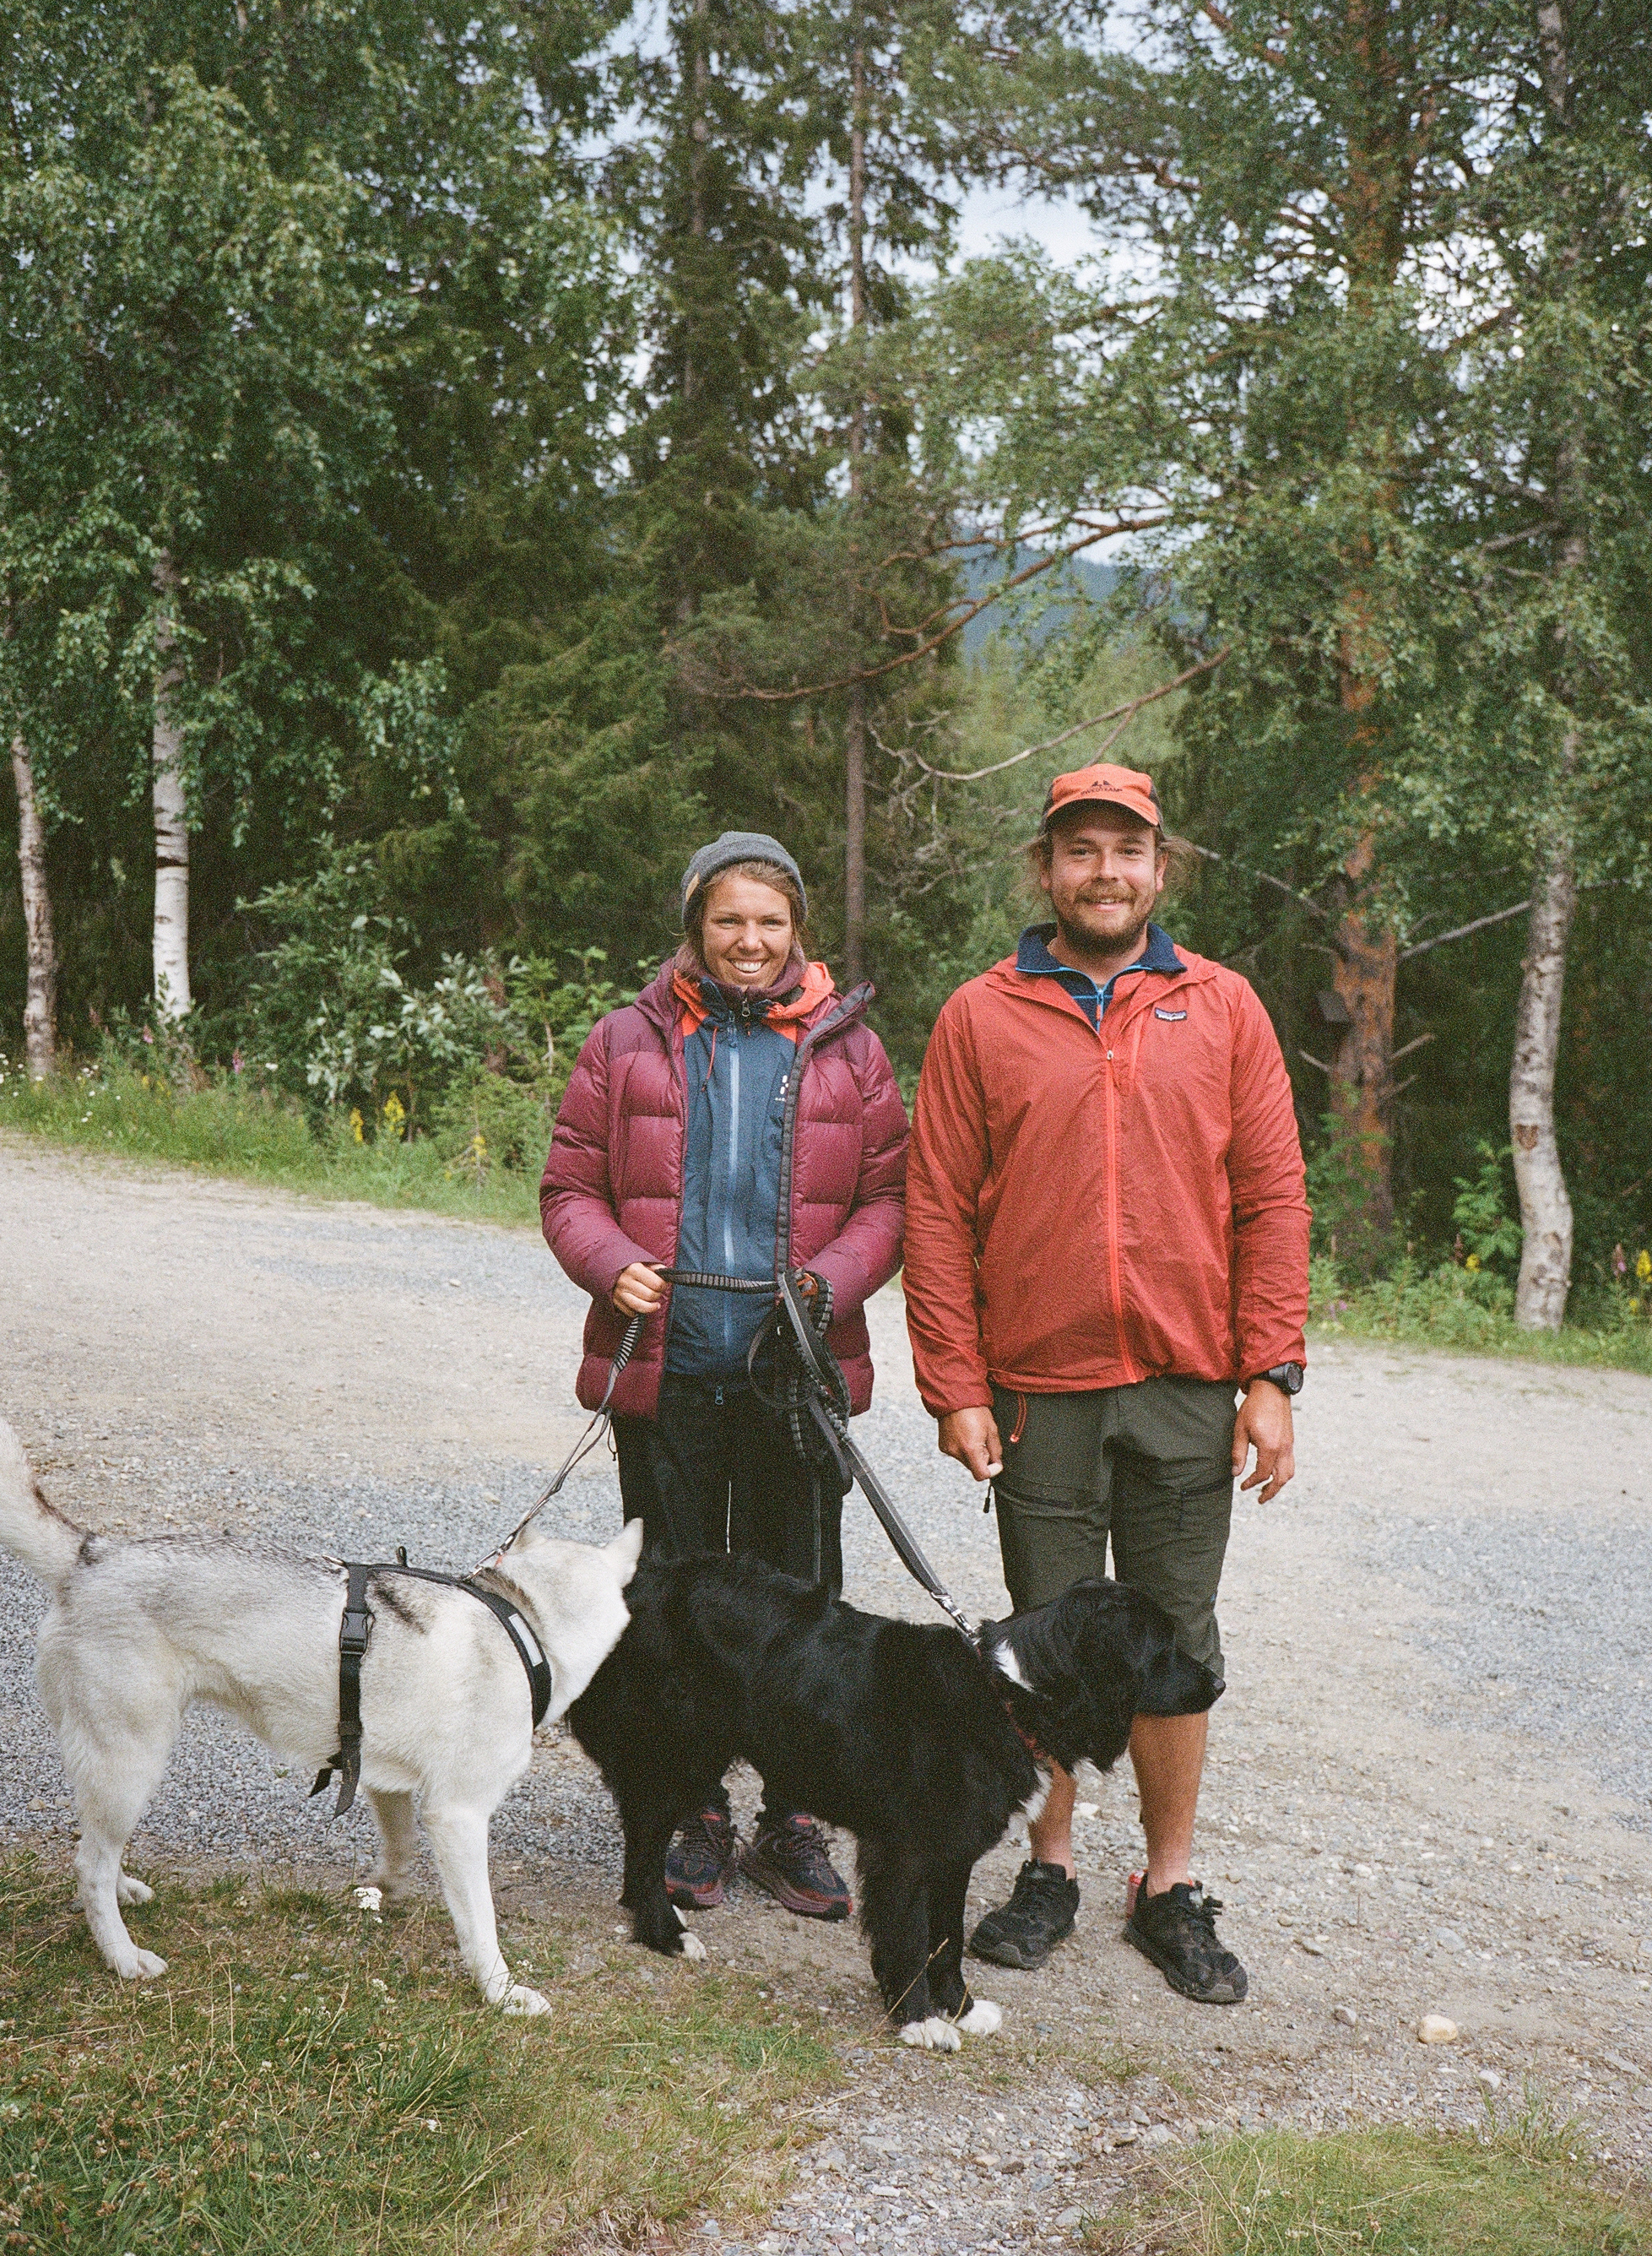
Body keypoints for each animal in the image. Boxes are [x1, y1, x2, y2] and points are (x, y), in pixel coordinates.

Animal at [0, 1417, 641, 2021]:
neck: (524, 1621)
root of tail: (91, 1554)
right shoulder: (458, 1815)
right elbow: (480, 1924)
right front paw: (501, 1992)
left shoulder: (385, 1781)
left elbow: (399, 1849)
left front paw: (381, 1892)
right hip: (132, 1761)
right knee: (89, 1865)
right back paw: (121, 1955)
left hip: (118, 1770)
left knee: (99, 1851)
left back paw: (124, 1889)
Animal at [568, 1561, 1227, 2057]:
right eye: (1162, 1648)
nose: (1218, 1685)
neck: (1011, 1696)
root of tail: (633, 1587)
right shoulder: (906, 1850)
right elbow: (910, 1934)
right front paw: (918, 2019)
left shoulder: (953, 1852)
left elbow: (947, 1937)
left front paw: (959, 2007)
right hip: (679, 1750)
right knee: (645, 1842)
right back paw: (665, 1932)